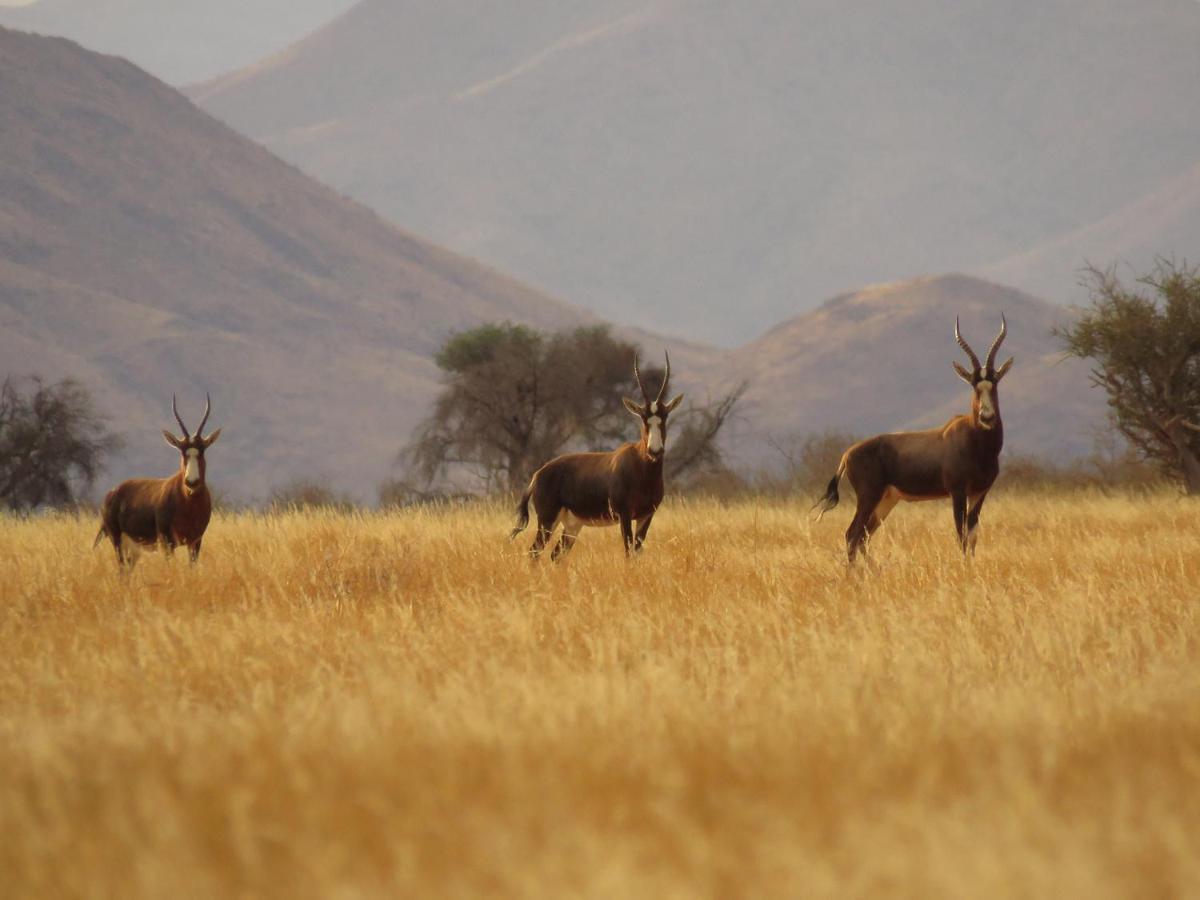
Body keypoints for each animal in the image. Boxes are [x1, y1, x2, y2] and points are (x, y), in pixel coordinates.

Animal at [93, 393, 223, 564]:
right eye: (183, 453)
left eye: (201, 452)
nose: (191, 482)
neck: (188, 503)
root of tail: (112, 493)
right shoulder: (167, 542)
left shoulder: (195, 542)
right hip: (117, 540)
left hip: (133, 549)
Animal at [508, 355, 686, 561]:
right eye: (643, 418)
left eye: (664, 417)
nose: (655, 451)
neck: (641, 468)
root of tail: (537, 475)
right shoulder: (624, 515)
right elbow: (628, 553)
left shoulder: (646, 516)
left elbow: (636, 552)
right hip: (547, 520)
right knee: (534, 552)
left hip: (572, 525)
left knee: (555, 555)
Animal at [811, 316, 1017, 564]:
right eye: (973, 385)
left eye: (994, 383)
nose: (987, 417)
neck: (974, 442)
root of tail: (846, 454)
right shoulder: (957, 492)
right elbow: (961, 534)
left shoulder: (979, 493)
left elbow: (973, 535)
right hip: (869, 497)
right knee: (852, 534)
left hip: (886, 501)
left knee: (863, 536)